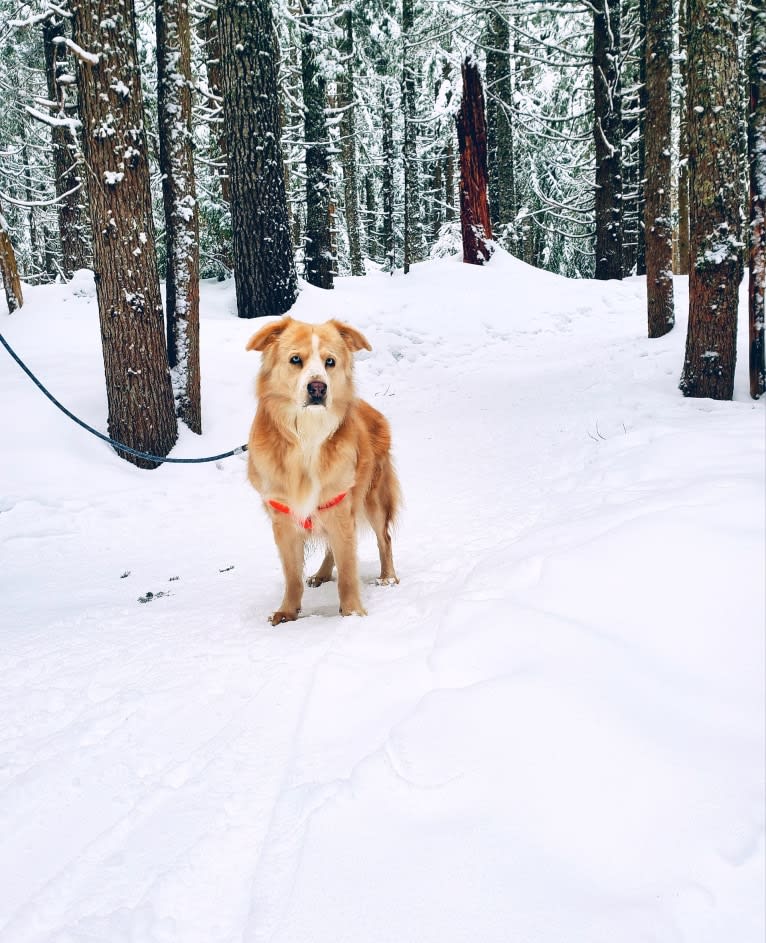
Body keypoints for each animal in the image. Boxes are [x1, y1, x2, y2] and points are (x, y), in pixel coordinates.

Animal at [246, 318, 402, 628]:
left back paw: (388, 577)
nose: (318, 387)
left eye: (330, 362)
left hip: (373, 499)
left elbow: (348, 570)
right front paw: (288, 611)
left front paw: (352, 612)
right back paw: (321, 574)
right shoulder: (284, 518)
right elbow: (292, 575)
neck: (307, 432)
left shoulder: (340, 505)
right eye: (296, 360)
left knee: (385, 539)